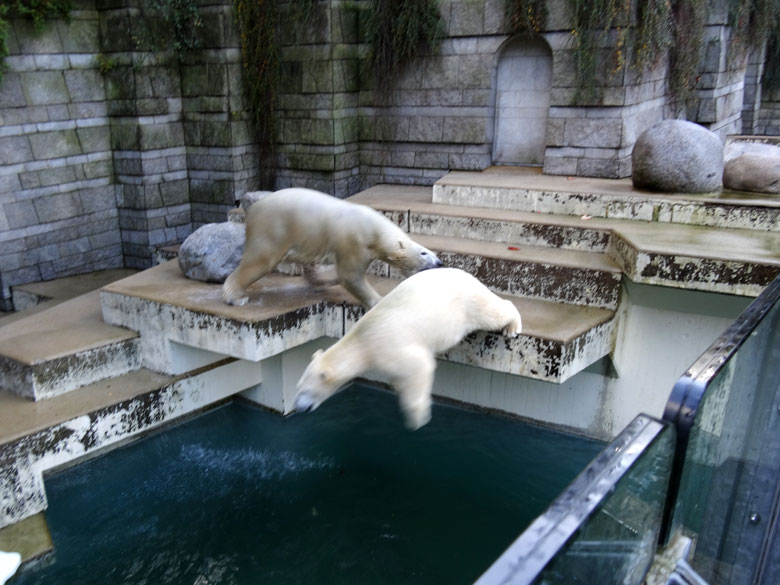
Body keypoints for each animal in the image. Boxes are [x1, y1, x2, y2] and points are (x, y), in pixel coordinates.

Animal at [222, 189, 442, 310]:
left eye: (433, 253)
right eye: (423, 253)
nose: (440, 263)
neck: (372, 227)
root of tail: (254, 207)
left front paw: (329, 280)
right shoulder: (354, 241)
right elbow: (350, 276)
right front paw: (378, 301)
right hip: (273, 229)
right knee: (260, 260)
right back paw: (236, 298)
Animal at [296, 270, 520, 428]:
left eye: (306, 390)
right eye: (298, 387)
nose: (297, 408)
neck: (362, 341)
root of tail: (469, 276)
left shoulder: (388, 346)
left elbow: (420, 366)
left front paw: (417, 416)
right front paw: (398, 385)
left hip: (469, 303)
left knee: (493, 312)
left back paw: (512, 327)